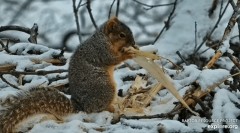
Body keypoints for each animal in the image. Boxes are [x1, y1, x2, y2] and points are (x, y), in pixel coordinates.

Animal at [0, 16, 135, 133]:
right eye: (121, 35)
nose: (133, 43)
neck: (104, 39)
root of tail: (80, 106)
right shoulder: (101, 50)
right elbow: (112, 59)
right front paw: (127, 54)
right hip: (105, 87)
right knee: (97, 108)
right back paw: (111, 108)